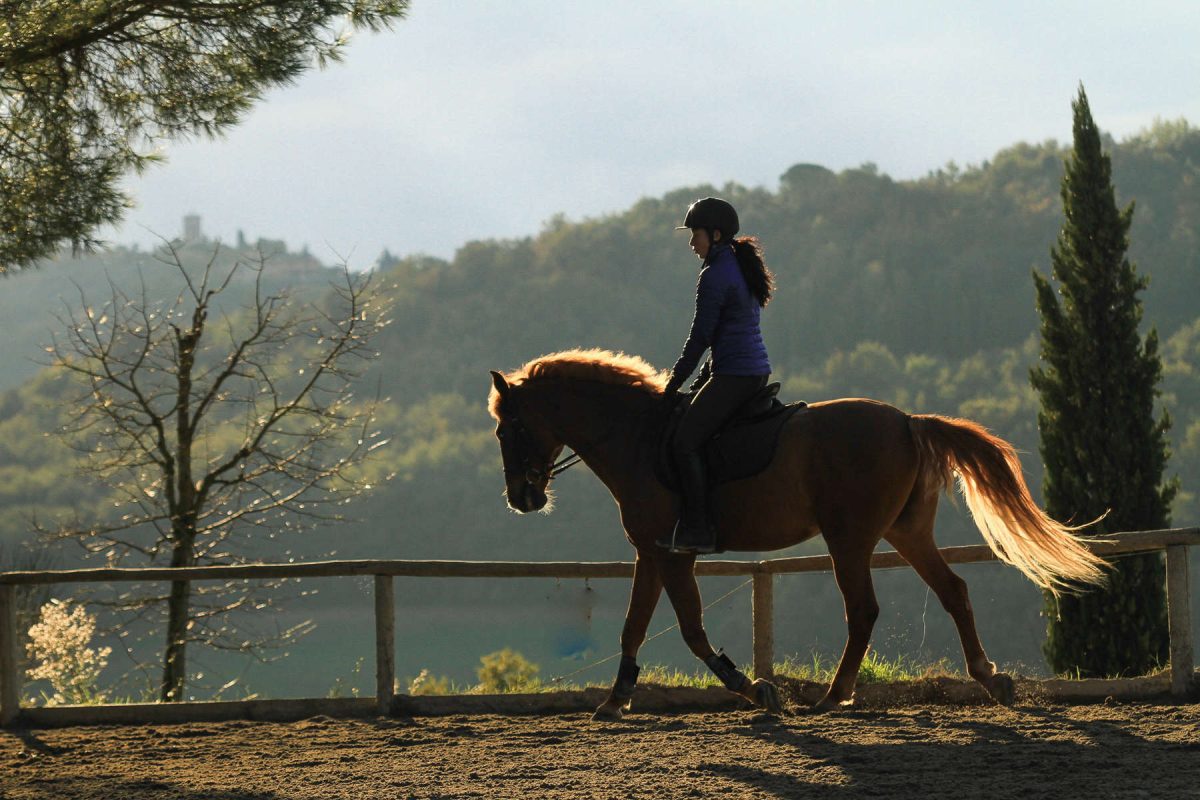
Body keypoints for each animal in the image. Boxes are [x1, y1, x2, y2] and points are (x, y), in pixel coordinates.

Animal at [487, 345, 1104, 719]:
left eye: (507, 427)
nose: (521, 499)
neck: (638, 438)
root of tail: (908, 422)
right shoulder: (651, 552)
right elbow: (633, 626)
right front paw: (615, 701)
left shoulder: (675, 554)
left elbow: (690, 629)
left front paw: (754, 688)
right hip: (905, 532)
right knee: (953, 591)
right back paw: (989, 679)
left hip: (849, 539)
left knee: (864, 610)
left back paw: (834, 695)